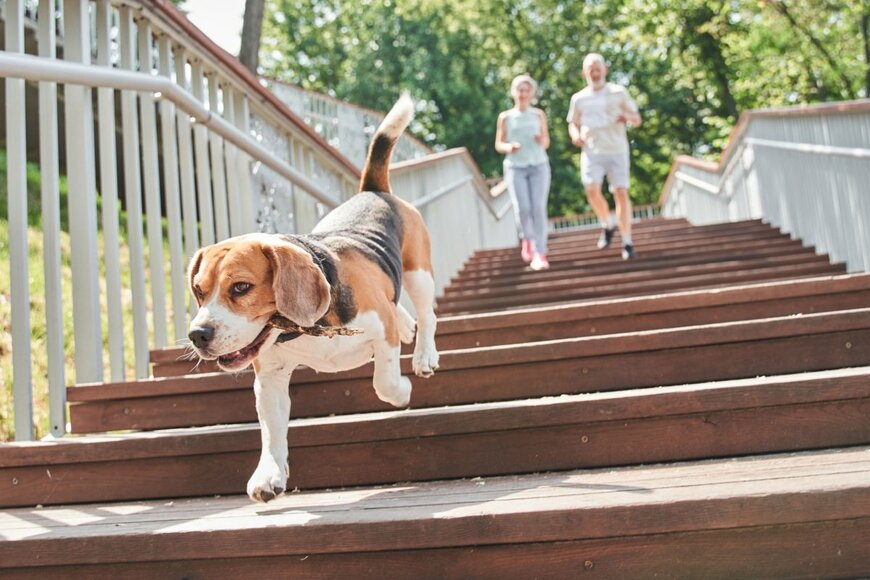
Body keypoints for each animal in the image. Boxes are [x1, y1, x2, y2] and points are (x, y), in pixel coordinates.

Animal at [187, 93, 440, 500]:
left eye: (240, 287)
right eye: (198, 290)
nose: (198, 335)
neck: (303, 328)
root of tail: (373, 190)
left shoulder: (379, 327)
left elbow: (383, 382)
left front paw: (401, 391)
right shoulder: (270, 376)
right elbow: (272, 430)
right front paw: (269, 475)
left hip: (420, 273)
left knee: (427, 315)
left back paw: (425, 356)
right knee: (402, 309)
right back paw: (407, 328)